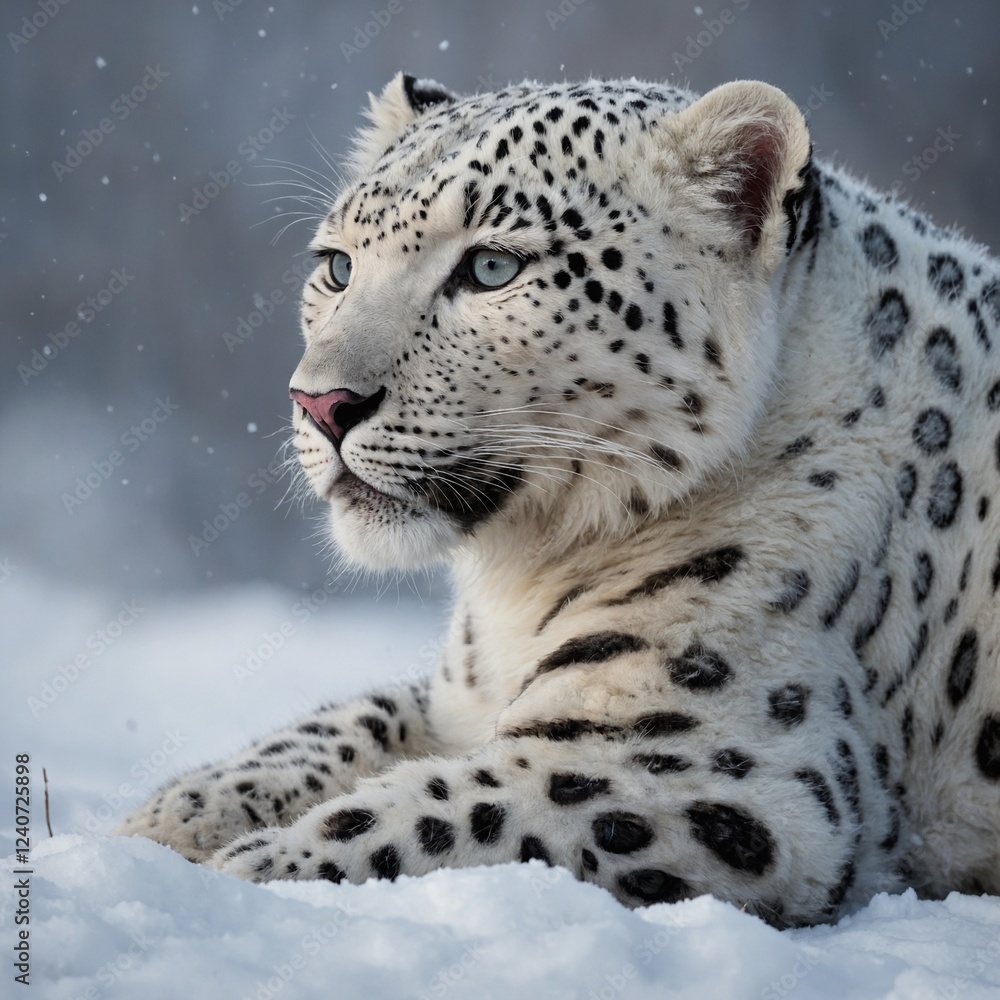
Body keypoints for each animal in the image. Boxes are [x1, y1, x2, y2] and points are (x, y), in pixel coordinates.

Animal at [116, 73, 1000, 928]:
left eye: (492, 268)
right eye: (338, 266)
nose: (321, 403)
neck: (520, 579)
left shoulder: (724, 773)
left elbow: (439, 809)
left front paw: (256, 868)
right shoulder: (460, 697)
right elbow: (345, 720)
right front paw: (164, 819)